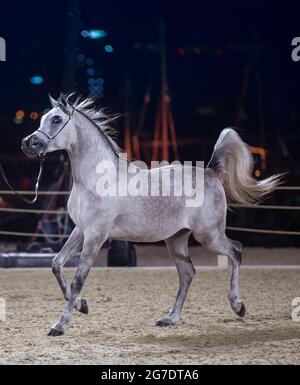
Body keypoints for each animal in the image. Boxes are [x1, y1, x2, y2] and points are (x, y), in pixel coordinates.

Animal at [22, 95, 282, 336]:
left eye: (56, 119)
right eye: (43, 118)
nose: (27, 143)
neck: (96, 179)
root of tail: (211, 172)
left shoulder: (96, 236)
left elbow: (78, 279)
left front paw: (60, 325)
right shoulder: (81, 230)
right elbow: (56, 264)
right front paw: (82, 306)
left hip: (209, 235)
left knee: (235, 250)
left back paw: (238, 305)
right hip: (176, 239)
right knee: (187, 273)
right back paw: (170, 318)